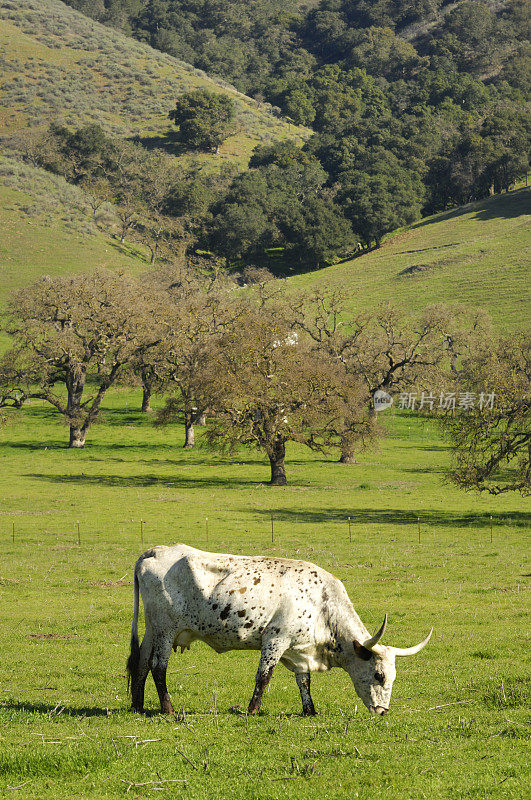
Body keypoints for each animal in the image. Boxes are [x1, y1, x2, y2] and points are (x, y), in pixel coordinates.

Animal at [128, 548, 432, 716]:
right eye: (379, 675)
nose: (383, 711)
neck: (322, 603)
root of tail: (155, 551)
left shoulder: (300, 650)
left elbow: (304, 682)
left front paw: (310, 710)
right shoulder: (275, 640)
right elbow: (263, 677)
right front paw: (252, 710)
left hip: (152, 629)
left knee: (141, 663)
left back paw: (138, 706)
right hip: (166, 629)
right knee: (158, 666)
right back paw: (168, 709)